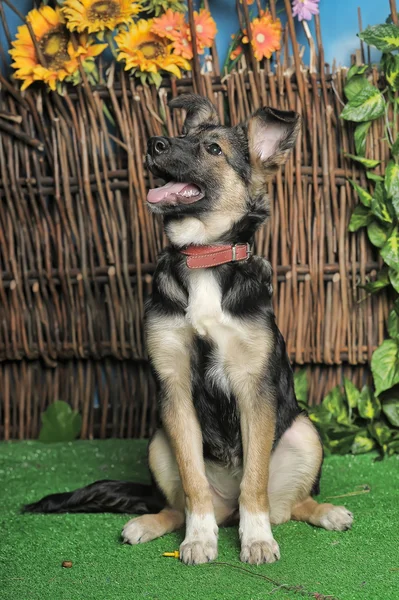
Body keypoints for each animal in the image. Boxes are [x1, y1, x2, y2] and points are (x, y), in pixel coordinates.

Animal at [25, 92, 354, 564]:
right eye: (181, 136)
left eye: (213, 149)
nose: (154, 143)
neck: (203, 258)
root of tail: (228, 511)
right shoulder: (175, 386)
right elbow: (193, 480)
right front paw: (199, 539)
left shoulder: (254, 387)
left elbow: (254, 481)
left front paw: (256, 540)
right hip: (158, 441)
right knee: (177, 506)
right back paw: (149, 524)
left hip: (305, 432)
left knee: (289, 506)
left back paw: (325, 513)